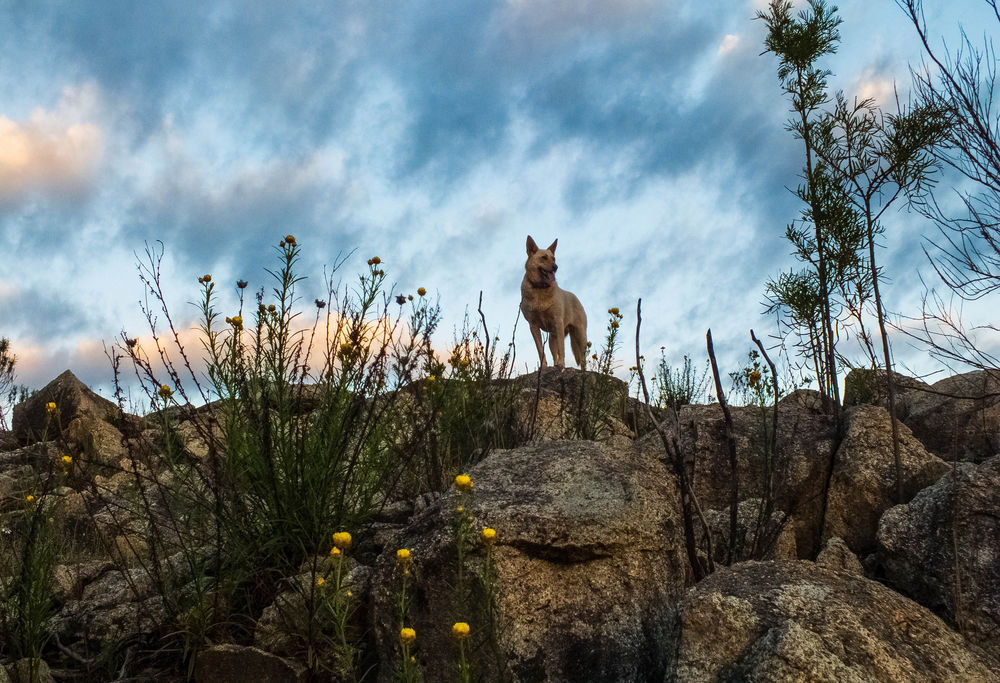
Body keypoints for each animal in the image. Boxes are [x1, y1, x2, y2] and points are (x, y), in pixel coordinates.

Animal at [524, 238, 584, 372]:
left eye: (554, 258)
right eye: (544, 257)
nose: (555, 267)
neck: (540, 288)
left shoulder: (558, 322)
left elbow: (562, 348)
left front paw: (562, 365)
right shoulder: (533, 325)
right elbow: (540, 350)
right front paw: (543, 367)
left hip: (580, 335)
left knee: (583, 358)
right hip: (552, 337)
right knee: (554, 353)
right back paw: (555, 365)